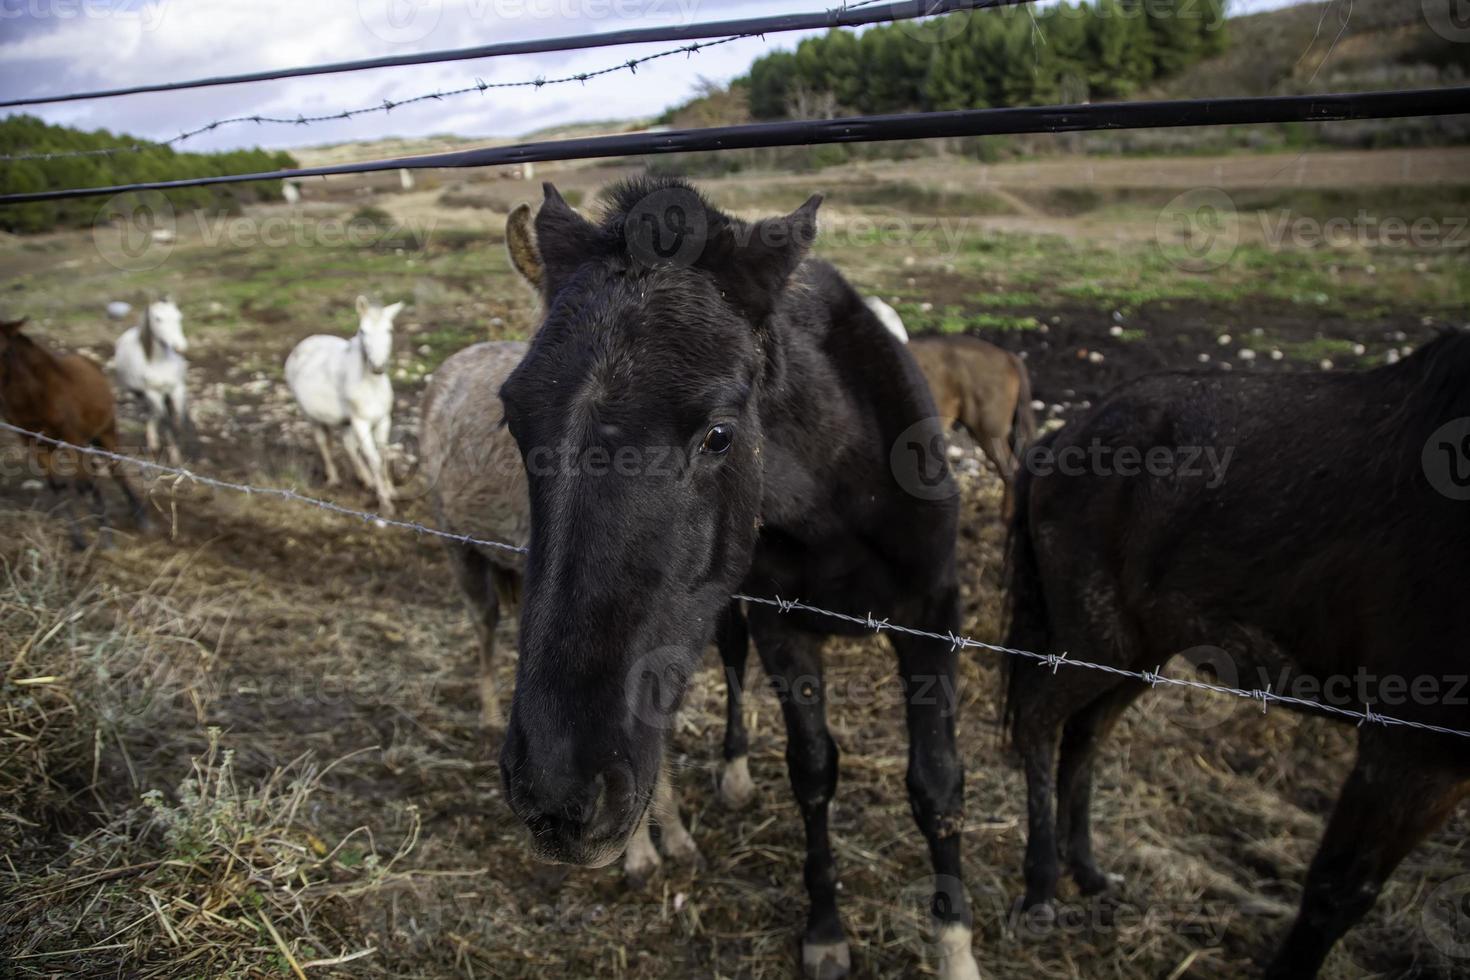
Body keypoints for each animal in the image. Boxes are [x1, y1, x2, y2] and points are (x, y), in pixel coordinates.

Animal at [0, 321, 150, 552]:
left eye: (5, 351)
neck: (34, 398)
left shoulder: (73, 439)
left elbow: (84, 484)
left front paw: (107, 540)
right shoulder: (34, 443)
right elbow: (58, 487)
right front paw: (78, 540)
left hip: (104, 432)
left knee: (116, 471)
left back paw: (141, 519)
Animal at [114, 295, 194, 464]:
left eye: (179, 317)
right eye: (158, 318)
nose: (180, 346)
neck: (159, 363)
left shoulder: (178, 389)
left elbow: (179, 419)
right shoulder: (153, 393)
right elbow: (166, 421)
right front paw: (175, 455)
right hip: (139, 392)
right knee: (150, 411)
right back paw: (153, 441)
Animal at [285, 296, 402, 514]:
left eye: (389, 330)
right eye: (363, 331)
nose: (378, 367)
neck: (371, 384)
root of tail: (304, 344)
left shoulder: (383, 419)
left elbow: (383, 455)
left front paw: (391, 491)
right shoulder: (361, 422)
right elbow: (373, 458)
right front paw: (386, 504)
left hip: (346, 421)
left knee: (348, 445)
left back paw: (366, 480)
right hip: (311, 416)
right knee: (323, 442)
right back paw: (334, 479)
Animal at [499, 178, 981, 980]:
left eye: (719, 434)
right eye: (512, 418)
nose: (557, 794)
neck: (840, 496)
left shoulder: (931, 615)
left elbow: (937, 784)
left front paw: (954, 948)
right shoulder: (781, 626)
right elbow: (812, 770)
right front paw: (825, 930)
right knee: (727, 664)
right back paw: (731, 772)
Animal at [1005, 333, 1470, 975]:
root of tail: (1065, 434)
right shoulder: (1408, 751)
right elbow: (1337, 892)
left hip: (1140, 650)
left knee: (1084, 736)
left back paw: (1090, 872)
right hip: (1095, 637)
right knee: (1039, 721)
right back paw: (1042, 887)